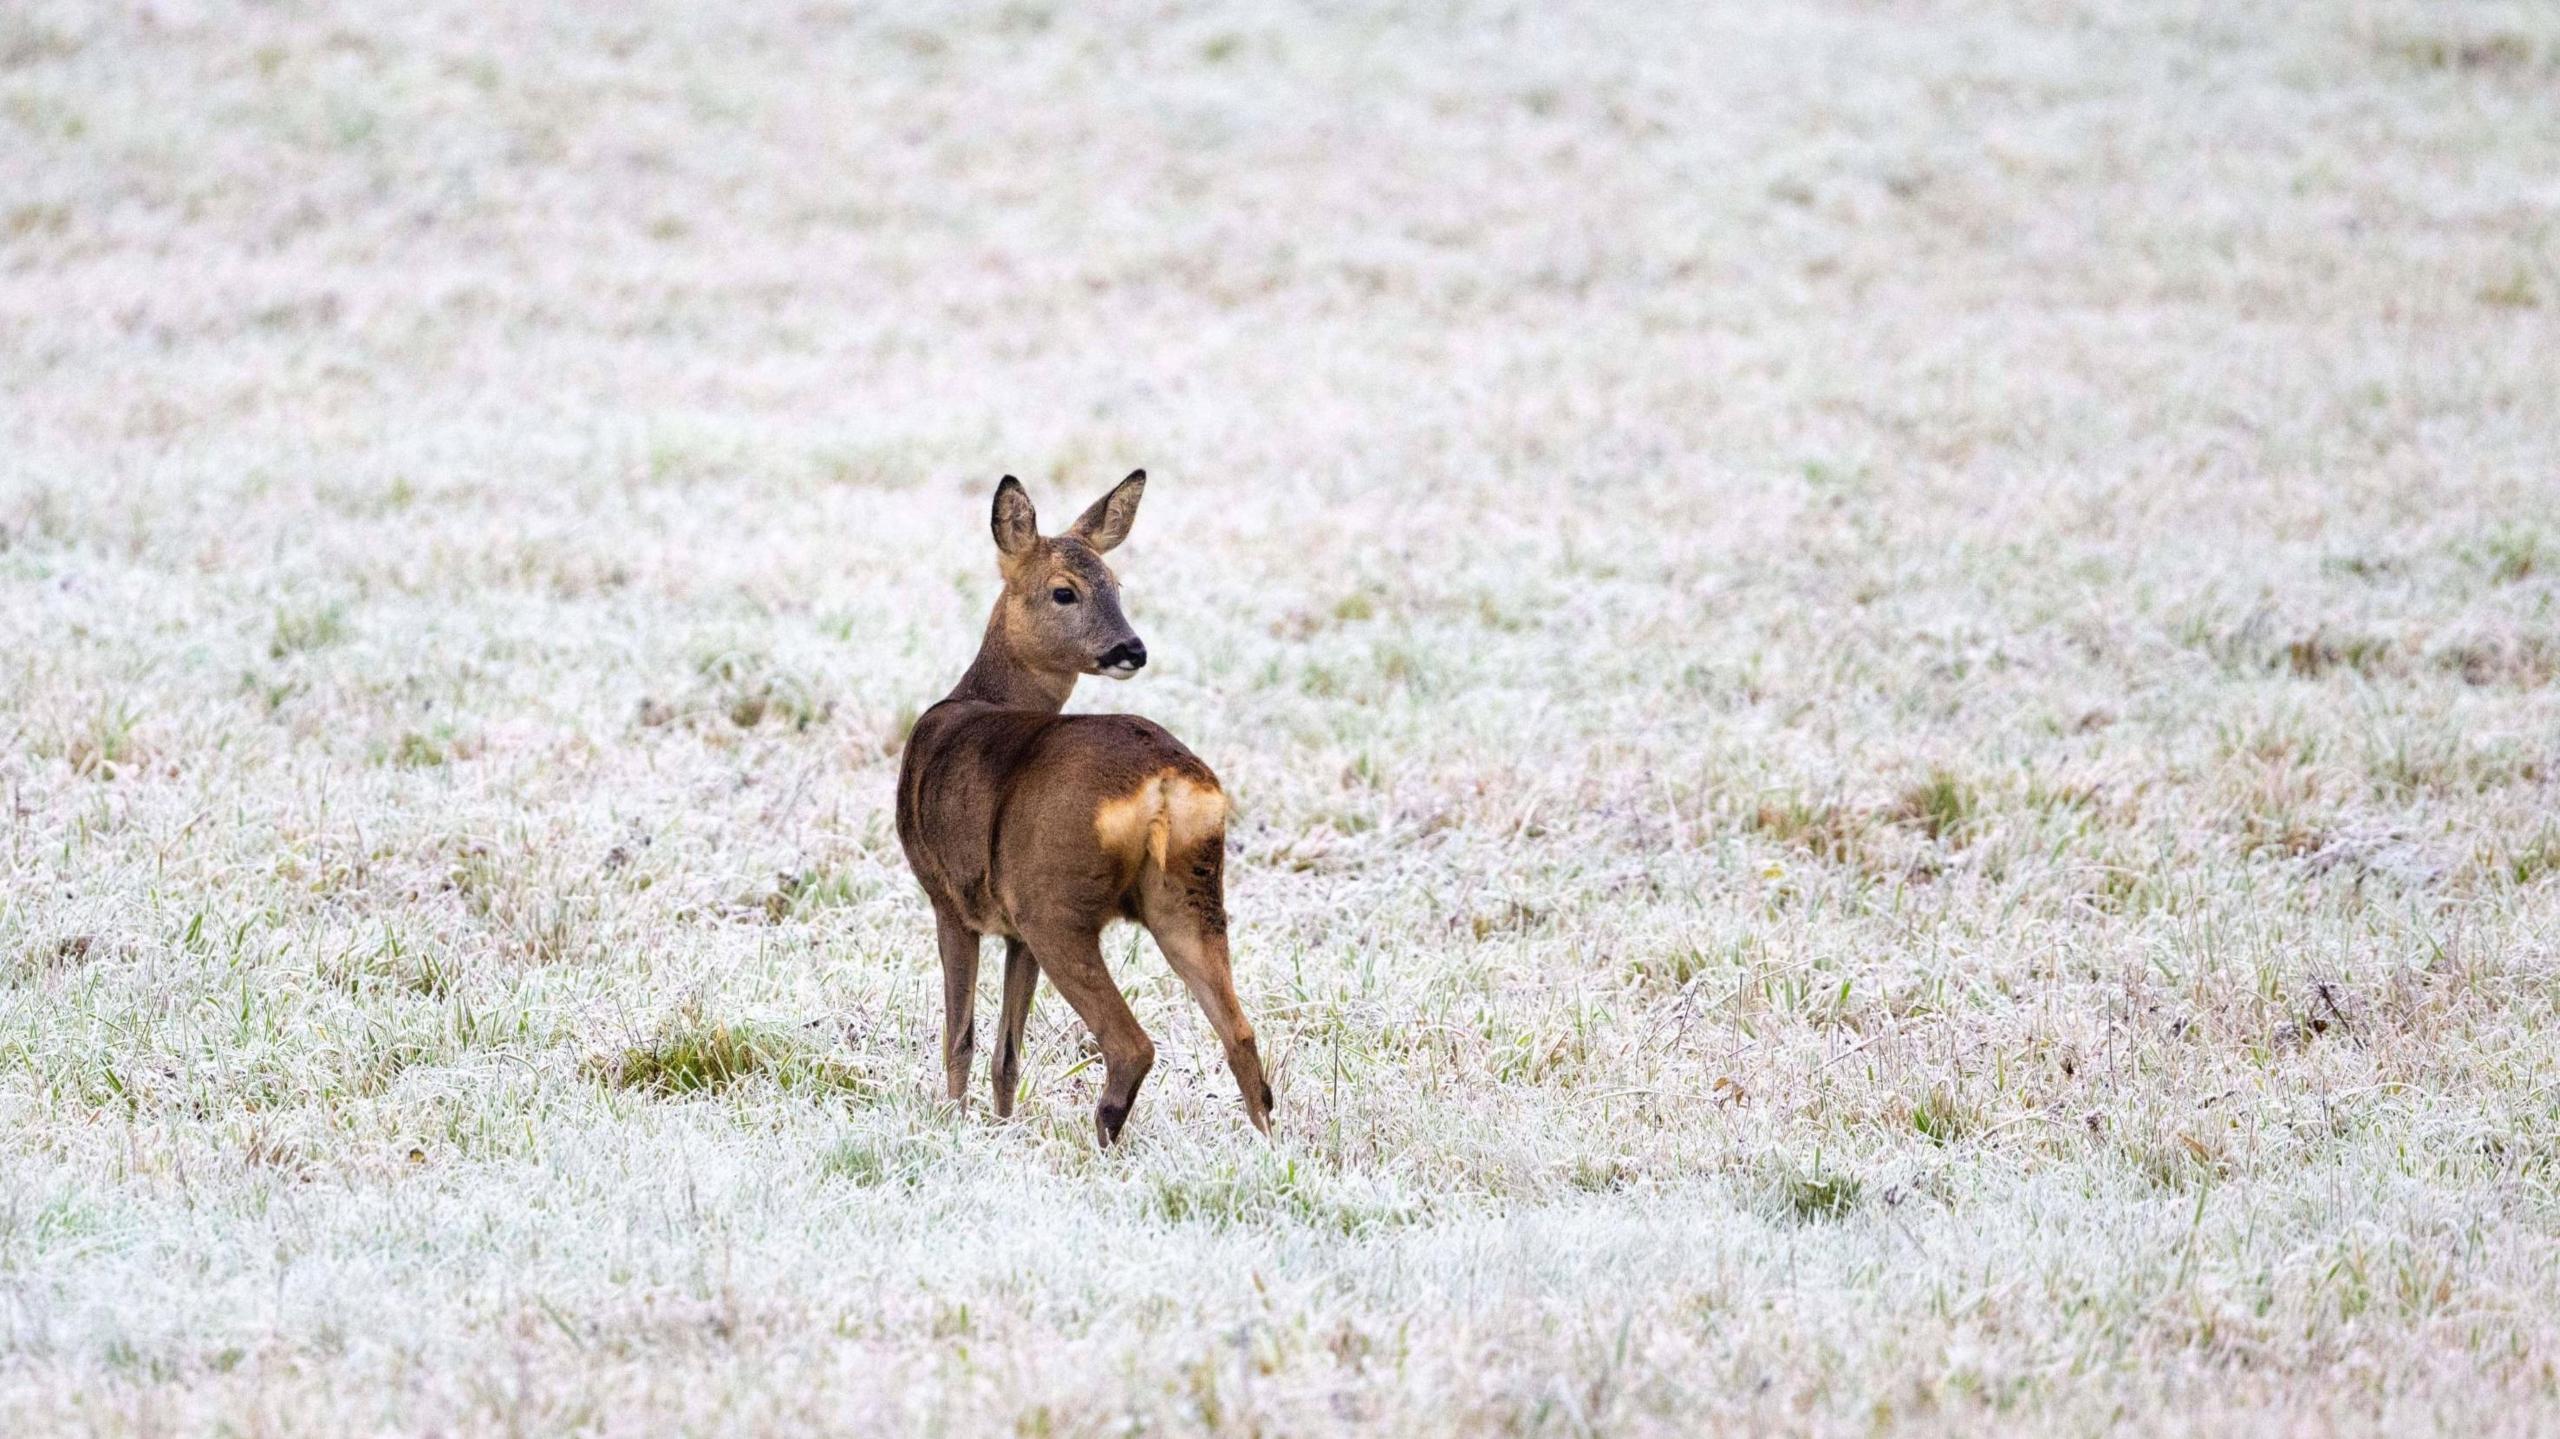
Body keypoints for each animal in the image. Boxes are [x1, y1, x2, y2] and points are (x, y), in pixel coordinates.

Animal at [894, 470, 1274, 1146]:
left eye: (1115, 586)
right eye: (1066, 591)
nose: (1132, 649)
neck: (982, 696)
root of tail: (1163, 784)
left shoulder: (951, 899)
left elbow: (960, 1037)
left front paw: (955, 1127)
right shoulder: (1012, 930)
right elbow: (1008, 1049)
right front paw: (1000, 1127)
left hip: (1056, 901)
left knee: (1132, 1044)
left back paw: (1103, 1140)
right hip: (1190, 896)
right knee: (1243, 1036)